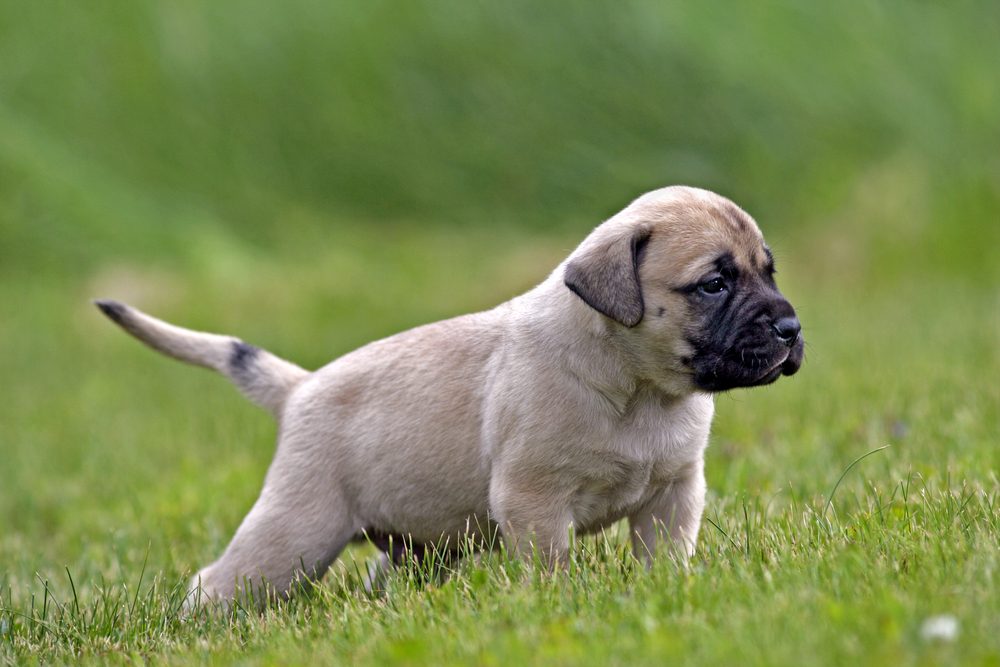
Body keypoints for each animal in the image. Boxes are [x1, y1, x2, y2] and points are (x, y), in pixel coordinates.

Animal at [95, 185, 804, 604]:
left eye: (770, 272)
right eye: (714, 284)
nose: (791, 328)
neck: (639, 390)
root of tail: (301, 389)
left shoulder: (674, 495)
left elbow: (666, 555)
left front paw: (668, 593)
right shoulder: (534, 503)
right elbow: (551, 567)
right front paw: (559, 606)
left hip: (420, 545)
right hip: (294, 533)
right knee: (219, 582)